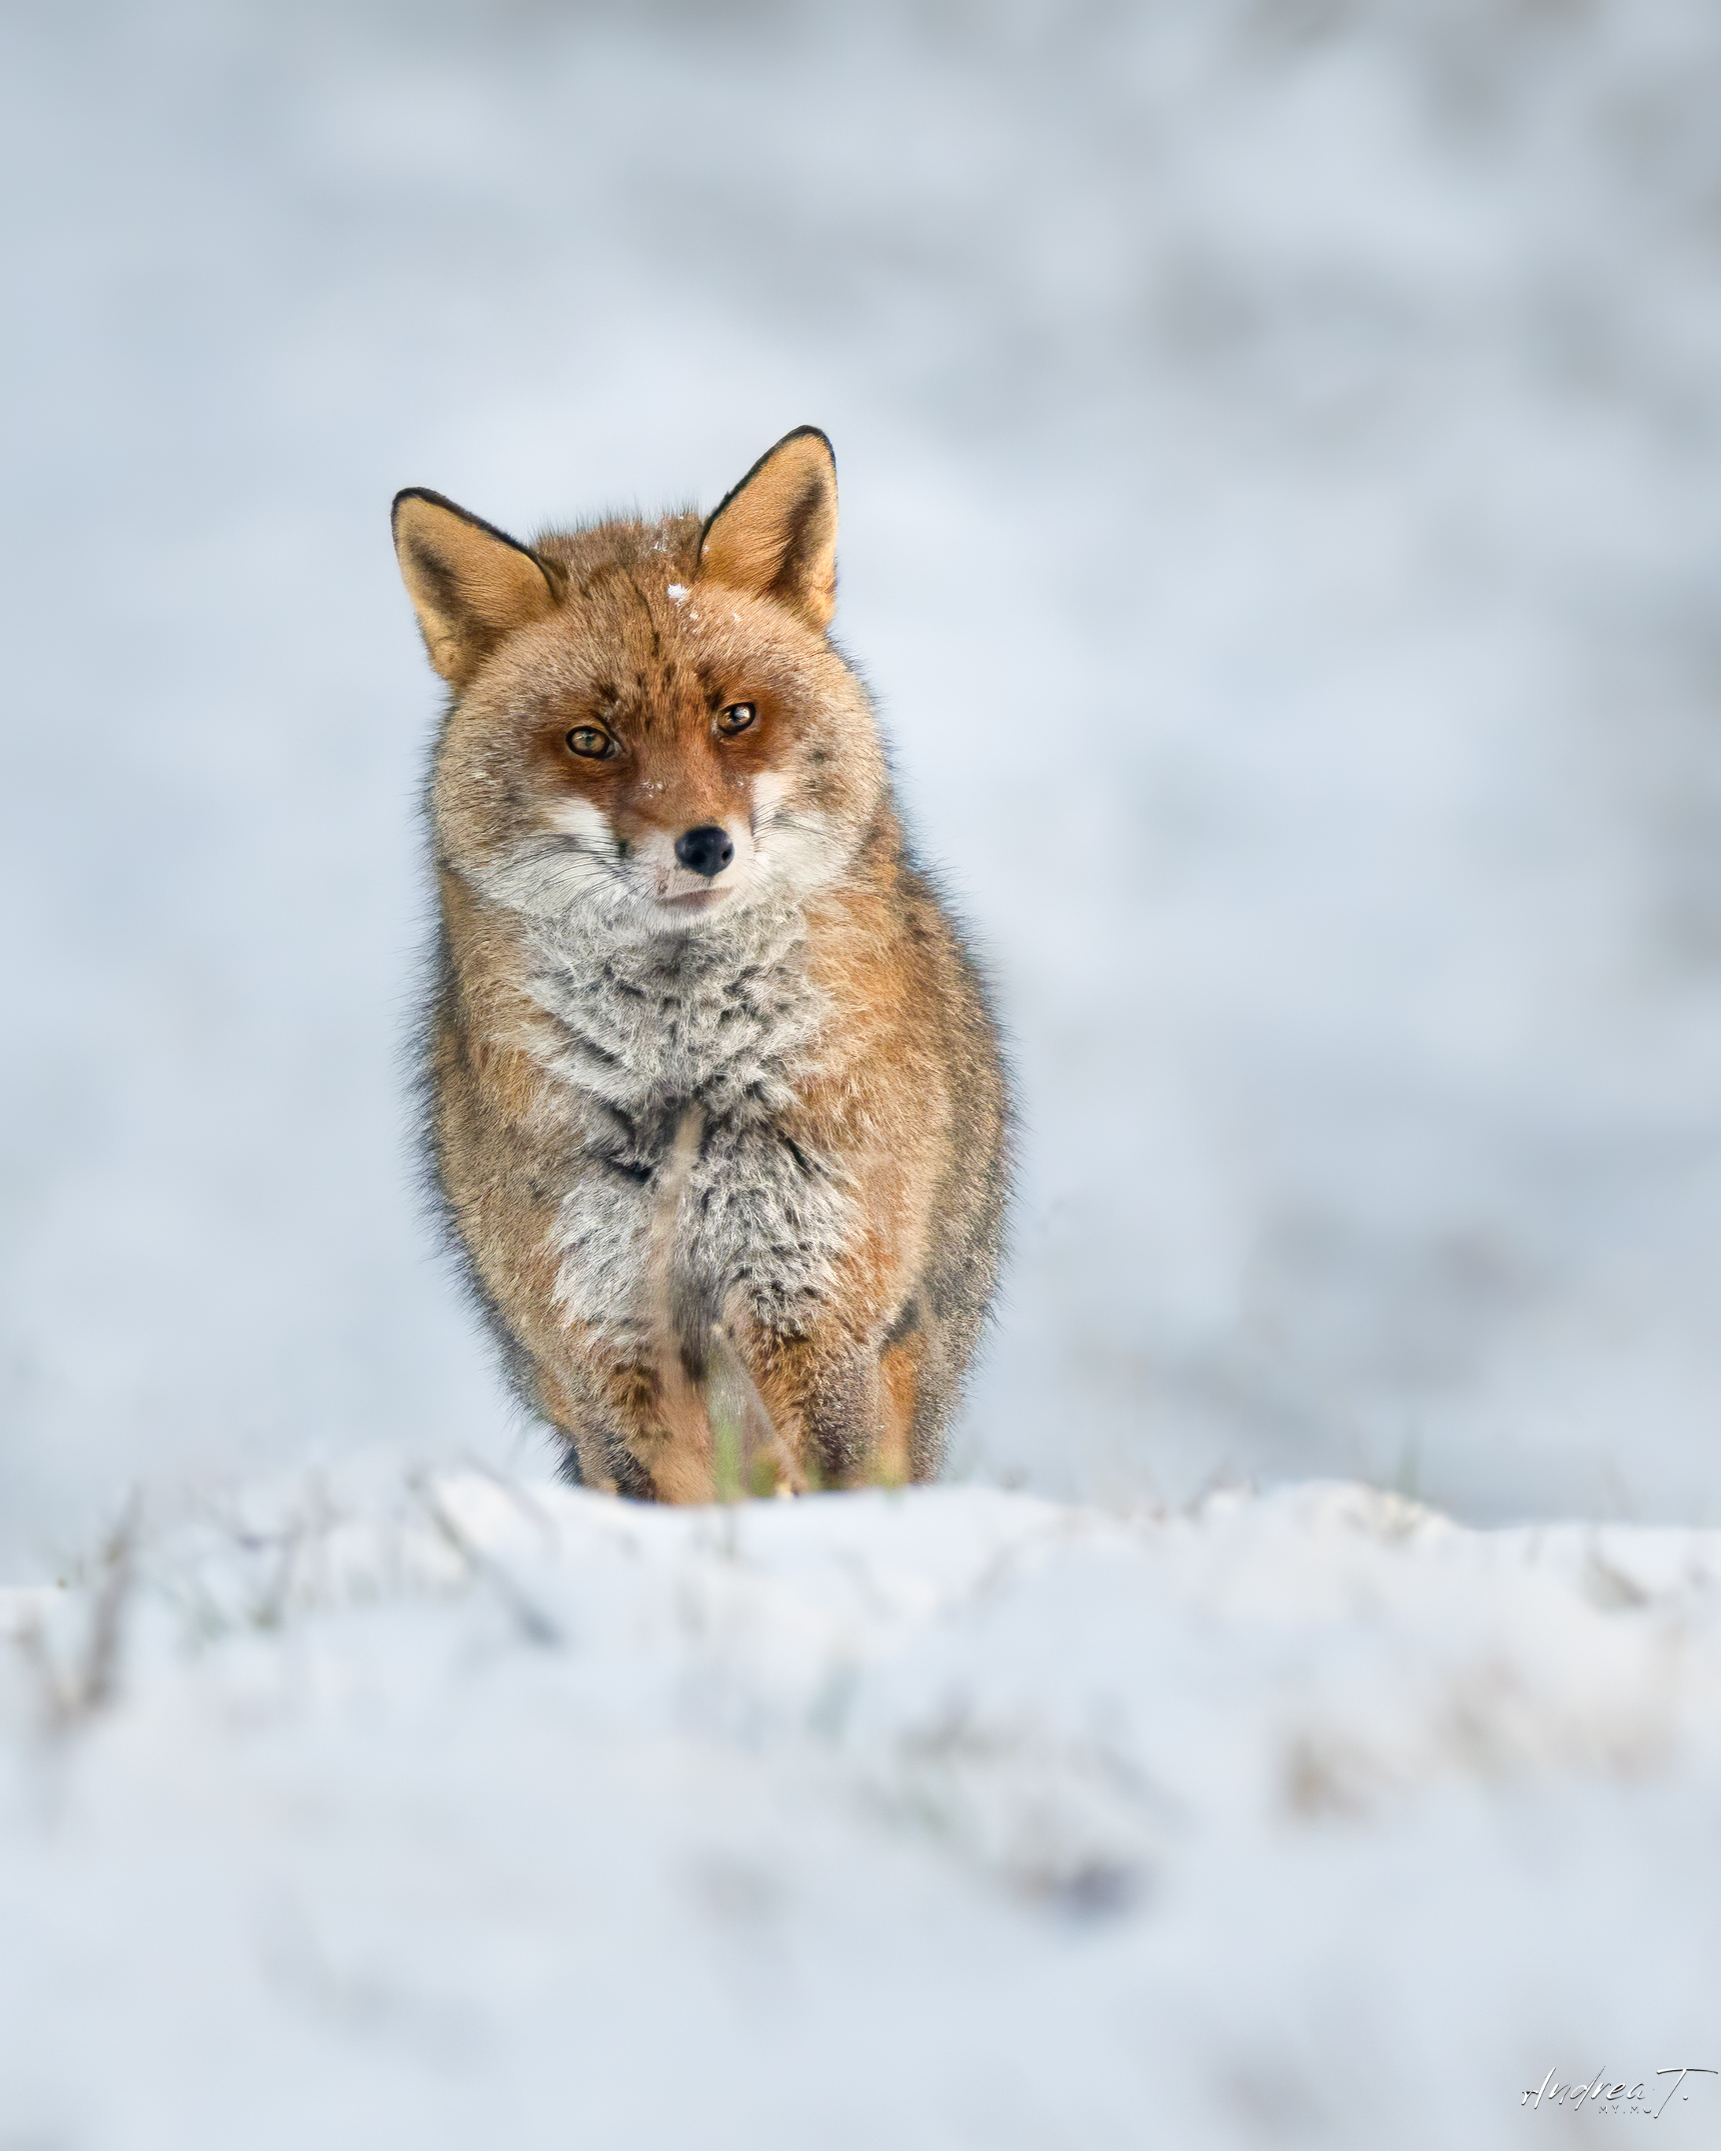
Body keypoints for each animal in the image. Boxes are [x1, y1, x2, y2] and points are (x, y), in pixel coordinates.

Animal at [392, 426, 1010, 1501]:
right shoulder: (604, 1342)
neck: (684, 1090)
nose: (704, 845)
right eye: (591, 739)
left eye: (735, 717)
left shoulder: (813, 1306)